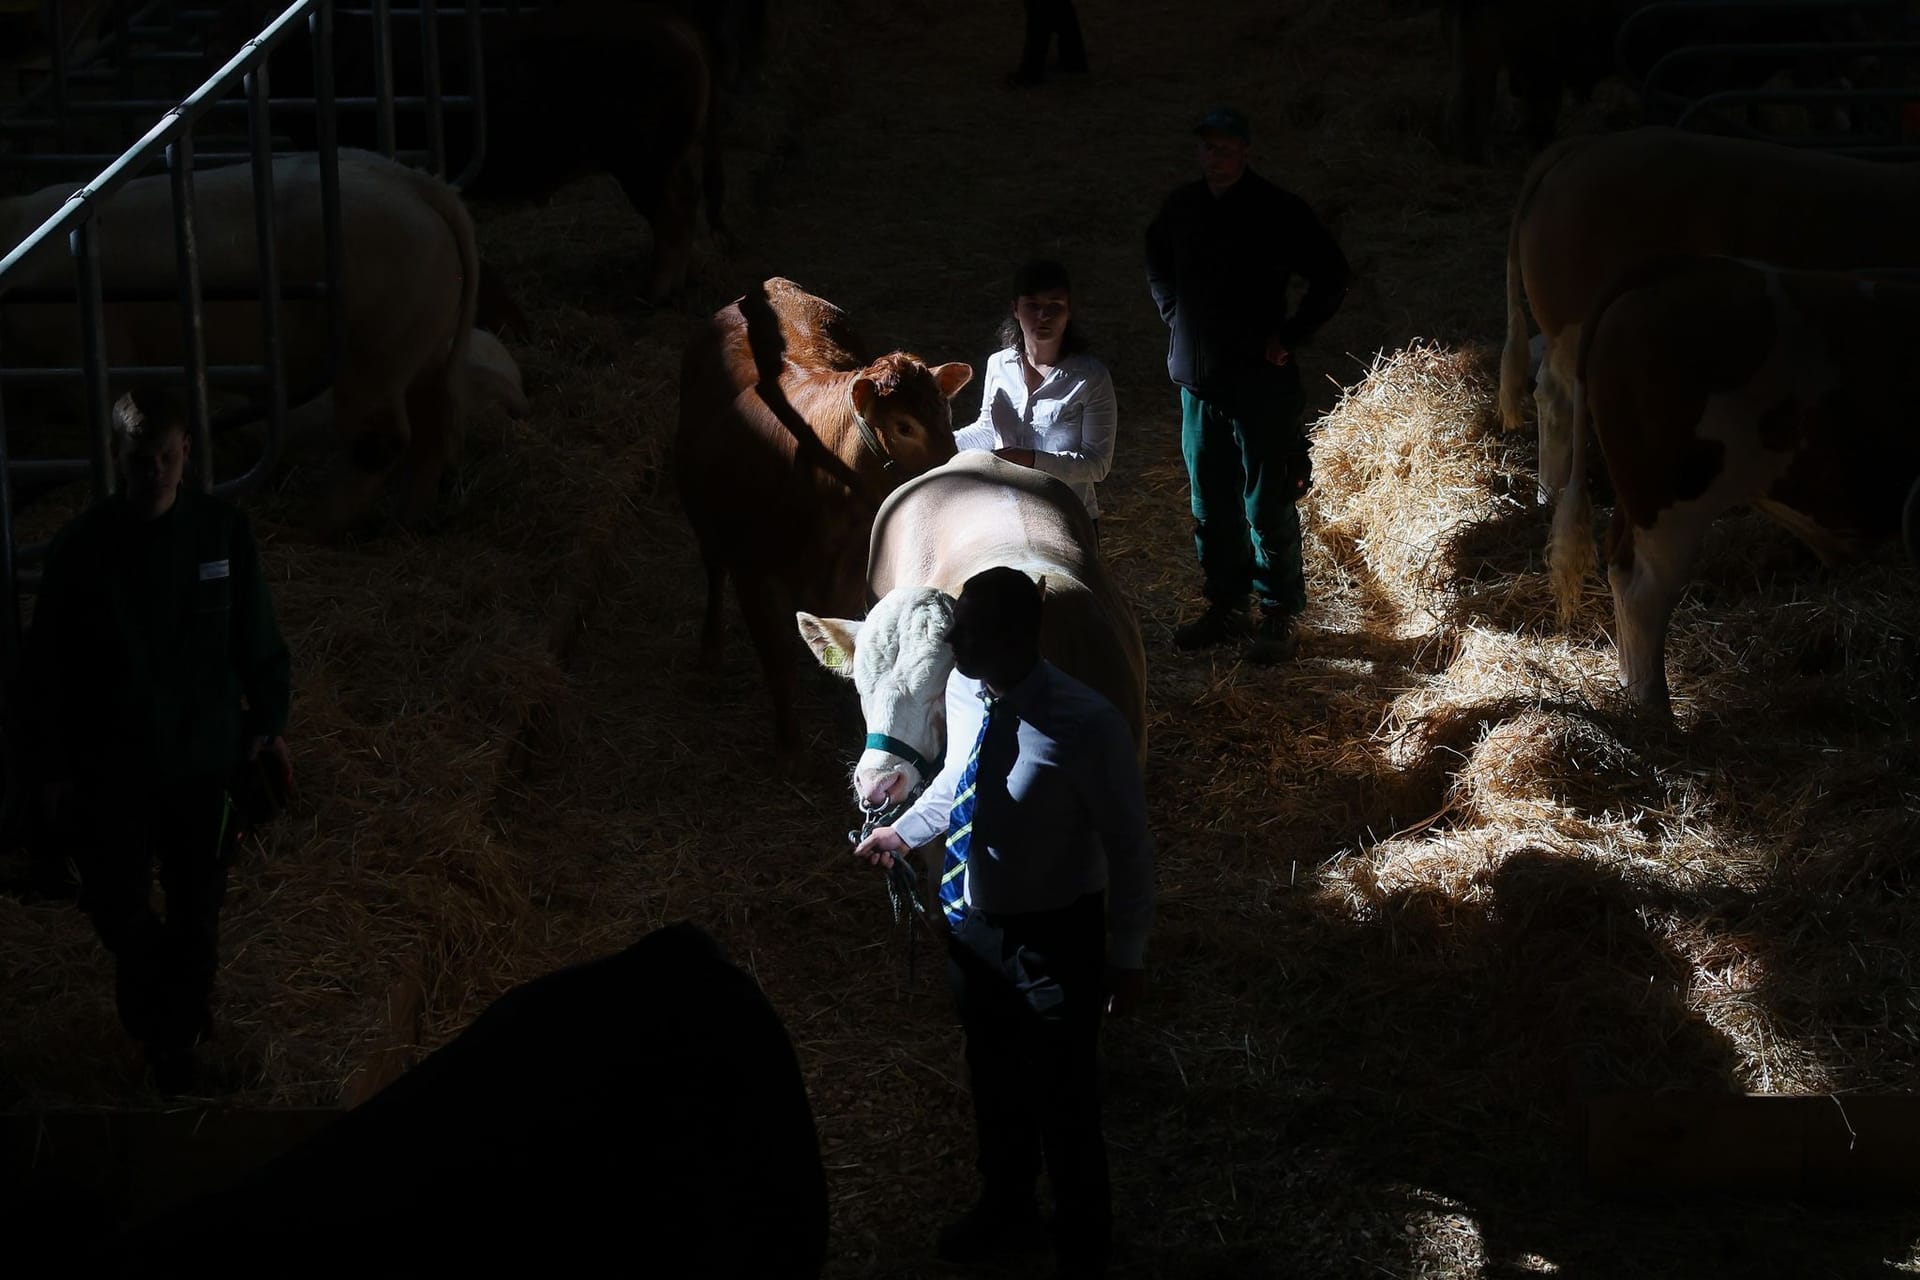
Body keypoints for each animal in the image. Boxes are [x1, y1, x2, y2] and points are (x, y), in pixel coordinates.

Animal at [1, 147, 495, 529]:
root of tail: (420, 186)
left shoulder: (93, 358)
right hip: (425, 343)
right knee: (435, 425)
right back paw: (408, 518)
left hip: (376, 345)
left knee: (383, 437)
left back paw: (322, 522)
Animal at [679, 280, 975, 752]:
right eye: (903, 426)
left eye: (947, 414)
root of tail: (773, 285)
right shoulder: (753, 575)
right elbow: (777, 659)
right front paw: (789, 747)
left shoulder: (851, 575)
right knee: (712, 567)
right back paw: (710, 651)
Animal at [1543, 255, 1920, 717]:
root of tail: (1680, 268)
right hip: (1672, 496)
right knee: (1646, 590)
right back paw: (1657, 712)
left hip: (1637, 495)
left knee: (1622, 568)